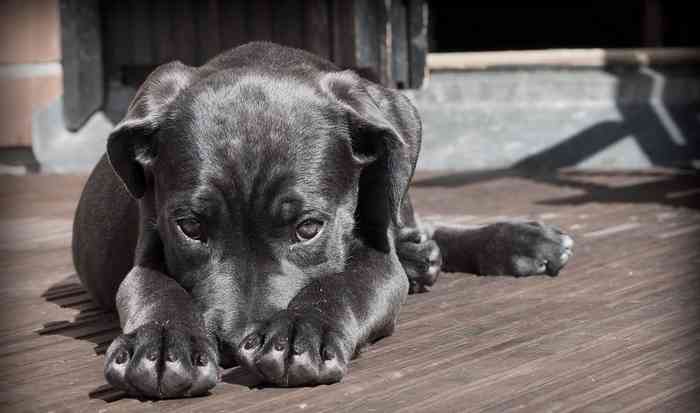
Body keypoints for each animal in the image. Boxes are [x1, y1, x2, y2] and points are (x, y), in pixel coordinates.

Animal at [72, 41, 576, 396]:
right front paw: (161, 344)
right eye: (190, 228)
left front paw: (302, 330)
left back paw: (513, 241)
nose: (234, 345)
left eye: (308, 228)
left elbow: (345, 283)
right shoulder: (148, 248)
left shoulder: (378, 260)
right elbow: (154, 289)